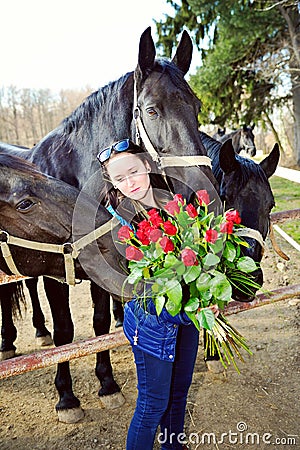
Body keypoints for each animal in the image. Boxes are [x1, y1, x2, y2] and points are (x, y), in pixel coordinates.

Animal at [0, 27, 218, 422]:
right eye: (152, 109)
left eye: (195, 107)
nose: (201, 193)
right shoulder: (57, 269)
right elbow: (66, 332)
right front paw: (67, 397)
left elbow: (100, 323)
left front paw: (107, 383)